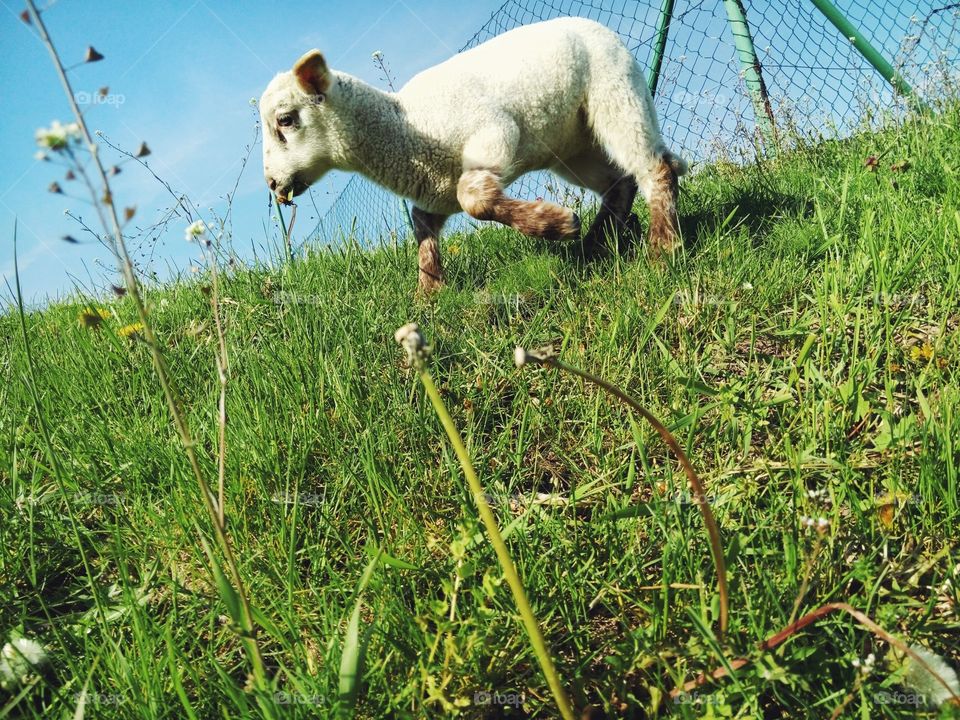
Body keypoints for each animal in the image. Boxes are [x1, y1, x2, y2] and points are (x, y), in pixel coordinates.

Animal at [259, 17, 687, 293]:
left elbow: (475, 199)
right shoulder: (435, 189)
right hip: (573, 145)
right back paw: (596, 243)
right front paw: (429, 294)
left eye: (285, 119)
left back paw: (661, 250)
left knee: (655, 167)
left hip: (616, 91)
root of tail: (594, 25)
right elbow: (422, 224)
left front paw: (557, 223)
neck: (408, 127)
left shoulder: (493, 134)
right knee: (620, 182)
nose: (273, 184)